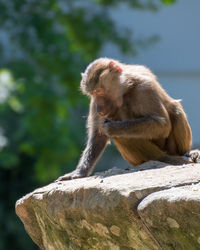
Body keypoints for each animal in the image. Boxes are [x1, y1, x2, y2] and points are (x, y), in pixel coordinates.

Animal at [56, 57, 200, 181]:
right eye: (92, 94)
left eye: (99, 91)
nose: (99, 109)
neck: (125, 89)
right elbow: (98, 135)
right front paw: (79, 173)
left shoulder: (144, 88)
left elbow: (163, 124)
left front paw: (112, 127)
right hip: (135, 160)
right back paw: (163, 159)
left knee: (175, 109)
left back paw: (180, 156)